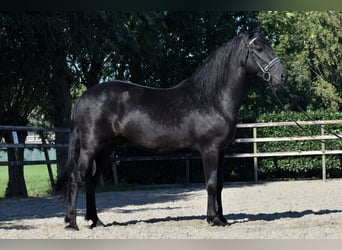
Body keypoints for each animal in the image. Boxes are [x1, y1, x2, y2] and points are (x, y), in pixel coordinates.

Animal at [55, 29, 286, 230]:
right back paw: (72, 223)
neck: (213, 99)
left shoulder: (221, 151)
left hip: (105, 150)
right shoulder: (209, 150)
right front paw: (213, 219)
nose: (282, 76)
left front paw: (222, 218)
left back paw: (96, 221)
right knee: (77, 179)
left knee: (91, 182)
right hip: (90, 148)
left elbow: (219, 185)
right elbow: (211, 184)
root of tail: (84, 97)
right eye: (258, 46)